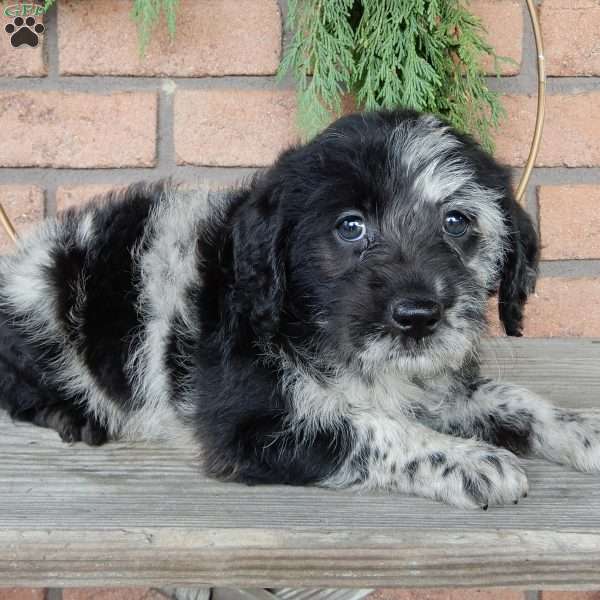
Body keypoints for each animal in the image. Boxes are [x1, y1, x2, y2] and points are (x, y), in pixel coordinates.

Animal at [1, 110, 600, 508]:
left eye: (457, 222)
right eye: (350, 227)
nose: (417, 315)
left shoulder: (432, 385)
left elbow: (509, 396)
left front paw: (581, 428)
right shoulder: (248, 429)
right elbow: (370, 428)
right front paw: (468, 459)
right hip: (44, 299)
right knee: (18, 386)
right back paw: (73, 417)